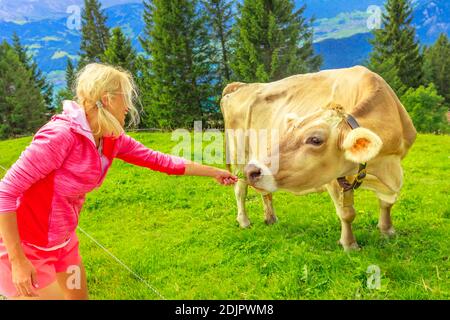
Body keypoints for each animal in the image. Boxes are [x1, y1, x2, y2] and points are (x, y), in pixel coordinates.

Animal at [220, 65, 416, 250]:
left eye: (315, 139)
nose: (252, 170)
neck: (383, 167)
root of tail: (243, 86)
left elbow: (386, 203)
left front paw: (387, 231)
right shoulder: (334, 179)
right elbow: (347, 214)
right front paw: (349, 244)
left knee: (265, 192)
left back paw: (271, 218)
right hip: (240, 156)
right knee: (240, 190)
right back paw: (244, 221)